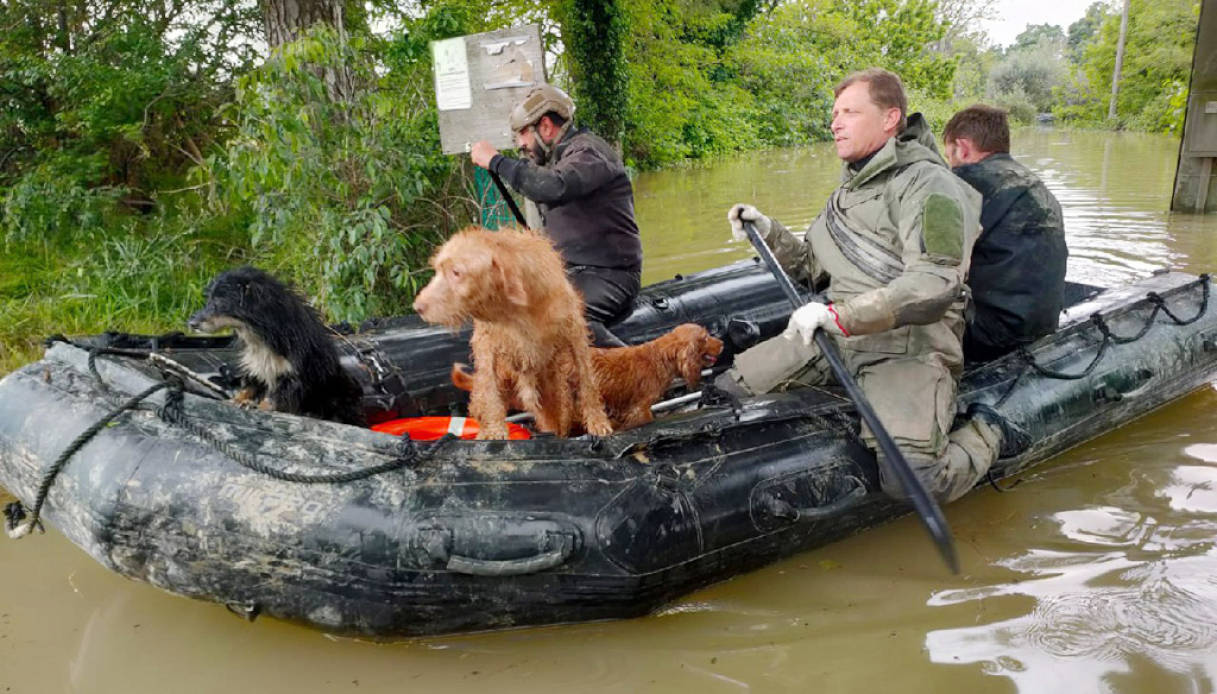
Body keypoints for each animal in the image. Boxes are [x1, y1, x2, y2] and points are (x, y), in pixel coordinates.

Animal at [184, 267, 365, 423]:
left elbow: (274, 399)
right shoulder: (254, 367)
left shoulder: (293, 377)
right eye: (208, 301)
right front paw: (237, 401)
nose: (191, 324)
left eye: (220, 302)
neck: (261, 339)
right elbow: (247, 388)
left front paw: (258, 406)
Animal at [413, 225, 613, 438]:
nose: (417, 307)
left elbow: (586, 380)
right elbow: (490, 390)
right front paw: (494, 431)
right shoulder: (486, 344)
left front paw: (597, 420)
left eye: (456, 272)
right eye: (437, 270)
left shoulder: (575, 332)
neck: (516, 310)